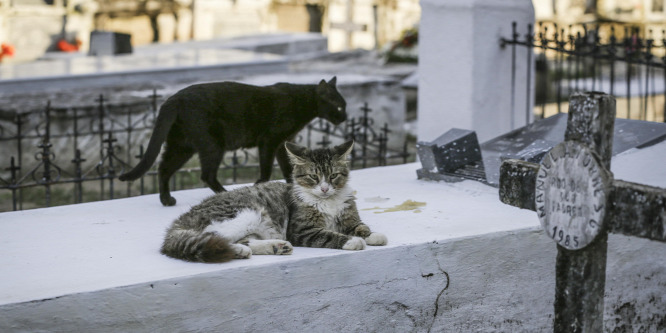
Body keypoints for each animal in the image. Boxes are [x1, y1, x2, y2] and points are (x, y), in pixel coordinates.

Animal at [120, 77, 348, 205]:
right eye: (338, 106)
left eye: (344, 106)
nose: (345, 117)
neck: (302, 102)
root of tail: (174, 98)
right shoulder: (269, 141)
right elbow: (266, 170)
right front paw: (259, 185)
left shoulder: (283, 144)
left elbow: (287, 169)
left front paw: (294, 187)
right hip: (212, 146)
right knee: (206, 175)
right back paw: (225, 194)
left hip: (181, 146)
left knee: (164, 168)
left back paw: (166, 200)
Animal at [160, 140, 386, 262]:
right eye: (313, 177)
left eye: (333, 176)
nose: (324, 188)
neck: (328, 202)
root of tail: (179, 221)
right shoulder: (302, 230)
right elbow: (330, 235)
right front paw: (353, 241)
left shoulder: (349, 217)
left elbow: (361, 227)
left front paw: (373, 236)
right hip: (243, 213)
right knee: (214, 238)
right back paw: (242, 250)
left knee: (241, 241)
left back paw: (275, 247)